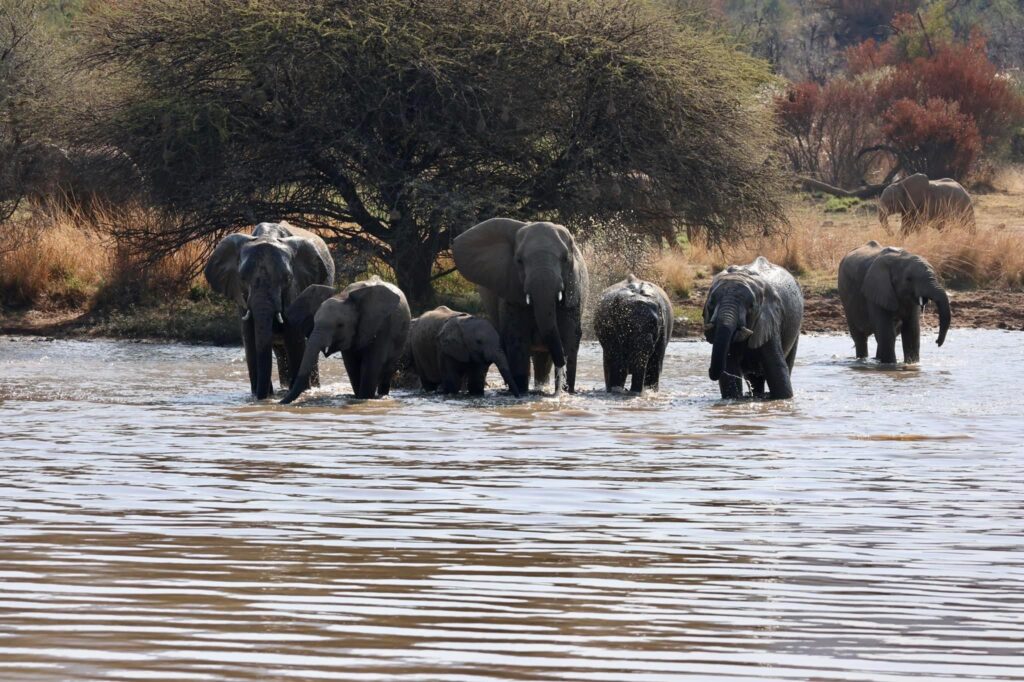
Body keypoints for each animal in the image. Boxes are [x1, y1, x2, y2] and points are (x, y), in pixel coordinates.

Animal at [204, 221, 335, 399]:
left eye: (287, 278)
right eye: (242, 278)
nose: (263, 396)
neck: (268, 235)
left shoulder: (296, 288)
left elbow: (295, 338)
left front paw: (300, 392)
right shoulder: (242, 298)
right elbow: (250, 340)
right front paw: (259, 396)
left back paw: (310, 389)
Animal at [280, 277, 411, 403]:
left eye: (340, 325)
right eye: (314, 322)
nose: (279, 402)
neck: (343, 296)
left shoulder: (381, 326)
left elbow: (371, 364)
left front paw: (365, 398)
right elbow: (351, 365)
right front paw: (358, 397)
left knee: (387, 371)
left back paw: (383, 395)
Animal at [452, 218, 589, 394]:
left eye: (565, 259)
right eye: (519, 260)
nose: (562, 371)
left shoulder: (574, 291)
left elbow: (570, 337)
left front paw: (567, 391)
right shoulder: (510, 293)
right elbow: (517, 339)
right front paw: (523, 391)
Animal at [702, 257, 804, 400]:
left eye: (751, 306)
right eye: (710, 304)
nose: (709, 370)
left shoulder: (770, 319)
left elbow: (776, 368)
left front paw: (784, 398)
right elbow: (729, 368)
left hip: (796, 328)